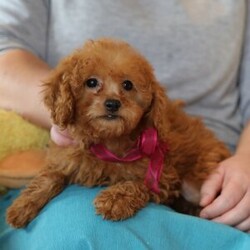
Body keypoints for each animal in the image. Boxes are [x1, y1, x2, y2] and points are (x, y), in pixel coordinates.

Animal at [6, 38, 230, 228]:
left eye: (128, 85)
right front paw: (22, 205)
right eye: (91, 82)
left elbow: (138, 183)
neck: (108, 139)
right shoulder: (65, 157)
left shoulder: (163, 175)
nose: (112, 104)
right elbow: (49, 176)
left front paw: (115, 200)